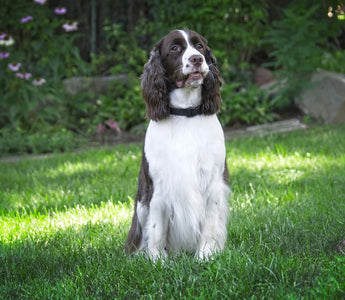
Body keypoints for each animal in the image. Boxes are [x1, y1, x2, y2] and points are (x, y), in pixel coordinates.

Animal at [124, 28, 228, 260]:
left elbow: (210, 225)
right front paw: (157, 261)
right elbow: (156, 229)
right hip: (141, 204)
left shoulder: (213, 182)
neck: (185, 114)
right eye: (174, 48)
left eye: (199, 46)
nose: (197, 59)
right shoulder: (157, 187)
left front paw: (206, 255)